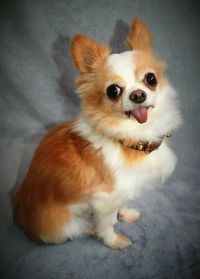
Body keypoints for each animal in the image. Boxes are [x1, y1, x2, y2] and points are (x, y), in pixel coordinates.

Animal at [14, 20, 182, 252]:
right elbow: (108, 221)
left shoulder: (121, 188)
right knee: (82, 228)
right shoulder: (103, 199)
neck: (130, 138)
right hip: (66, 225)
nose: (138, 95)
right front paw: (113, 240)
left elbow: (122, 202)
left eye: (151, 79)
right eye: (113, 91)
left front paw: (126, 213)